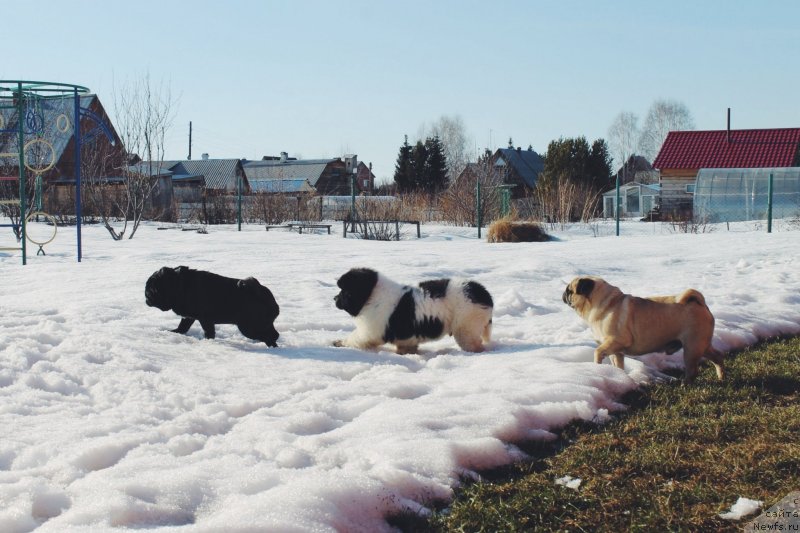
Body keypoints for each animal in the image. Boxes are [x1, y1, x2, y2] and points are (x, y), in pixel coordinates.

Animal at [146, 264, 282, 348]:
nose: (146, 300)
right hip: (262, 325)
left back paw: (271, 346)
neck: (178, 285)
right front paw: (175, 332)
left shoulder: (205, 319)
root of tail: (262, 293)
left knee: (268, 336)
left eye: (150, 292)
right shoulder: (189, 317)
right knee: (275, 334)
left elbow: (209, 332)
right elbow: (183, 327)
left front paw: (207, 342)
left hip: (249, 327)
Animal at [332, 266, 494, 354]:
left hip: (466, 326)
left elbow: (355, 337)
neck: (371, 295)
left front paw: (339, 343)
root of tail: (483, 293)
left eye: (344, 291)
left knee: (473, 344)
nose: (334, 298)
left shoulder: (370, 331)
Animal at [564, 276, 724, 380]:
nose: (563, 294)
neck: (606, 303)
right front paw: (619, 377)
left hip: (692, 347)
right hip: (702, 346)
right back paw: (721, 377)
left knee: (692, 371)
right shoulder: (616, 351)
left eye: (569, 291)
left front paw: (597, 368)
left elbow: (597, 352)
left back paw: (686, 384)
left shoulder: (615, 342)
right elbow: (618, 365)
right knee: (717, 357)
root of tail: (699, 303)